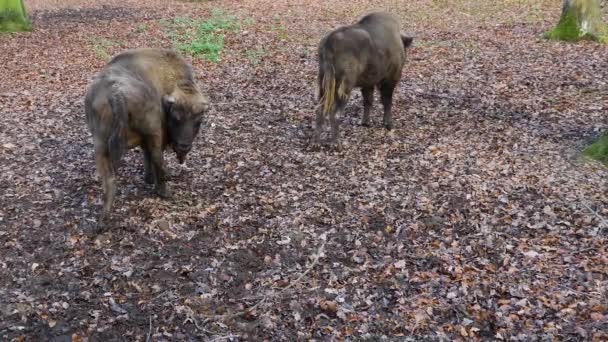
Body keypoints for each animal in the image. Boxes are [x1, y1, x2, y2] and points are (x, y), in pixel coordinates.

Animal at [84, 48, 210, 230]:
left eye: (198, 121)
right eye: (176, 118)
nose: (184, 146)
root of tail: (116, 94)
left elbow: (146, 155)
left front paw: (148, 178)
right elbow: (152, 156)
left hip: (100, 144)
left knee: (109, 181)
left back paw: (102, 222)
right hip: (153, 131)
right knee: (157, 159)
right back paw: (164, 191)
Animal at [314, 12, 414, 149]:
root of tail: (329, 43)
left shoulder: (368, 84)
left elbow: (368, 101)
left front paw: (366, 122)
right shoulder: (389, 80)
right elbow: (387, 101)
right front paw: (388, 124)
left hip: (324, 84)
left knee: (321, 109)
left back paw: (316, 142)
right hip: (344, 87)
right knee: (335, 113)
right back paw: (336, 143)